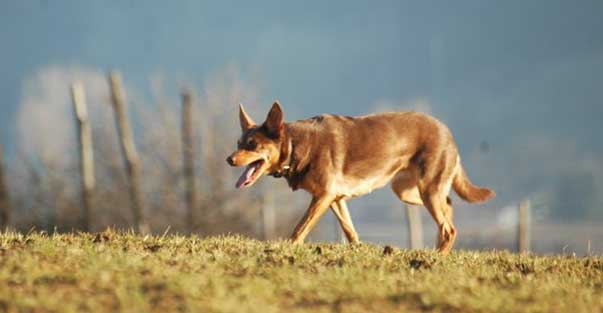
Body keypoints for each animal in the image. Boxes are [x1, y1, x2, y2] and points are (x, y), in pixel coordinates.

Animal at [226, 101, 496, 252]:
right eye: (239, 143)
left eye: (252, 145)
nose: (229, 160)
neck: (294, 145)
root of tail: (448, 133)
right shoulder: (335, 198)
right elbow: (349, 230)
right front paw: (357, 250)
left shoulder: (323, 196)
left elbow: (300, 228)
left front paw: (286, 248)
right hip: (408, 191)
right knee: (448, 208)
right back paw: (438, 250)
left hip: (427, 188)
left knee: (449, 228)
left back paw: (438, 257)